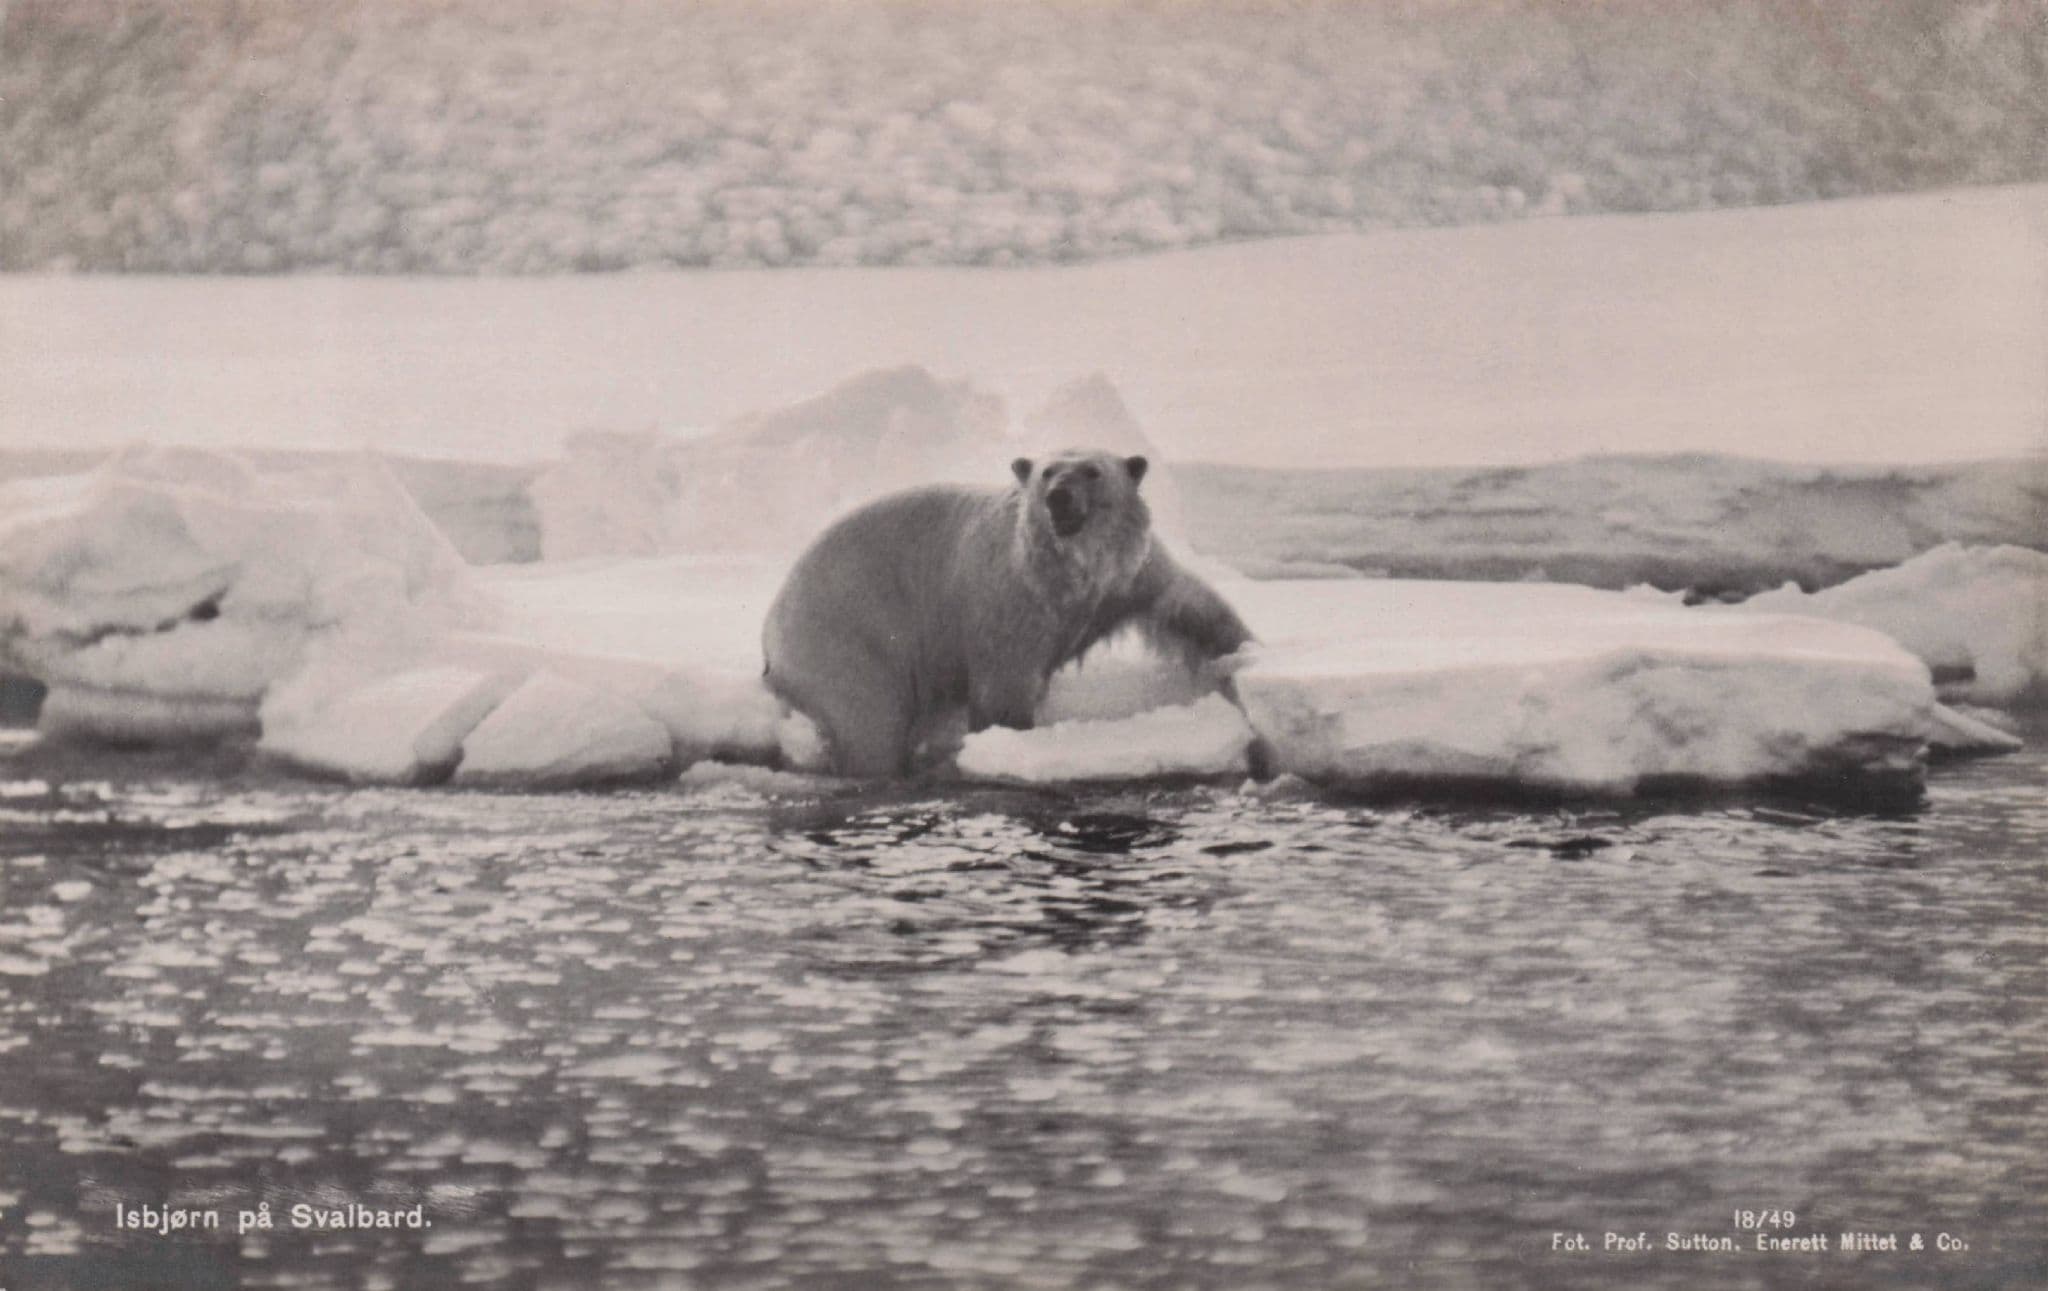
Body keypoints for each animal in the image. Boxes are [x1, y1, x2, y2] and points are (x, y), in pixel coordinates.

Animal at [762, 450, 1254, 777]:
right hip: (844, 641)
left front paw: (1243, 653)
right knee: (868, 724)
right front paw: (1011, 740)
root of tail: (770, 630)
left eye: (1092, 471)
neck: (1070, 573)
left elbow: (1183, 599)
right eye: (1046, 472)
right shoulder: (1009, 597)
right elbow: (1005, 683)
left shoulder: (1129, 573)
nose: (1059, 496)